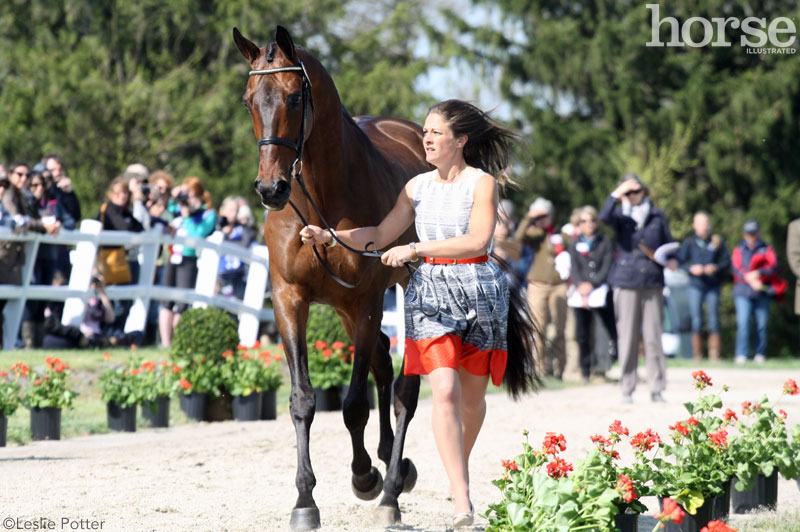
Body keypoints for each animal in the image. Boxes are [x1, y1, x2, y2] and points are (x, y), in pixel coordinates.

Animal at [231, 25, 432, 528]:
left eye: (293, 97)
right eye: (248, 101)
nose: (270, 188)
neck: (323, 191)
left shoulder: (365, 301)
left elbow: (354, 404)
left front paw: (365, 478)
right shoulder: (290, 299)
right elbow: (303, 400)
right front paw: (305, 501)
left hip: (396, 291)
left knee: (403, 389)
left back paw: (390, 488)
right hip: (341, 307)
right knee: (383, 361)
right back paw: (391, 461)